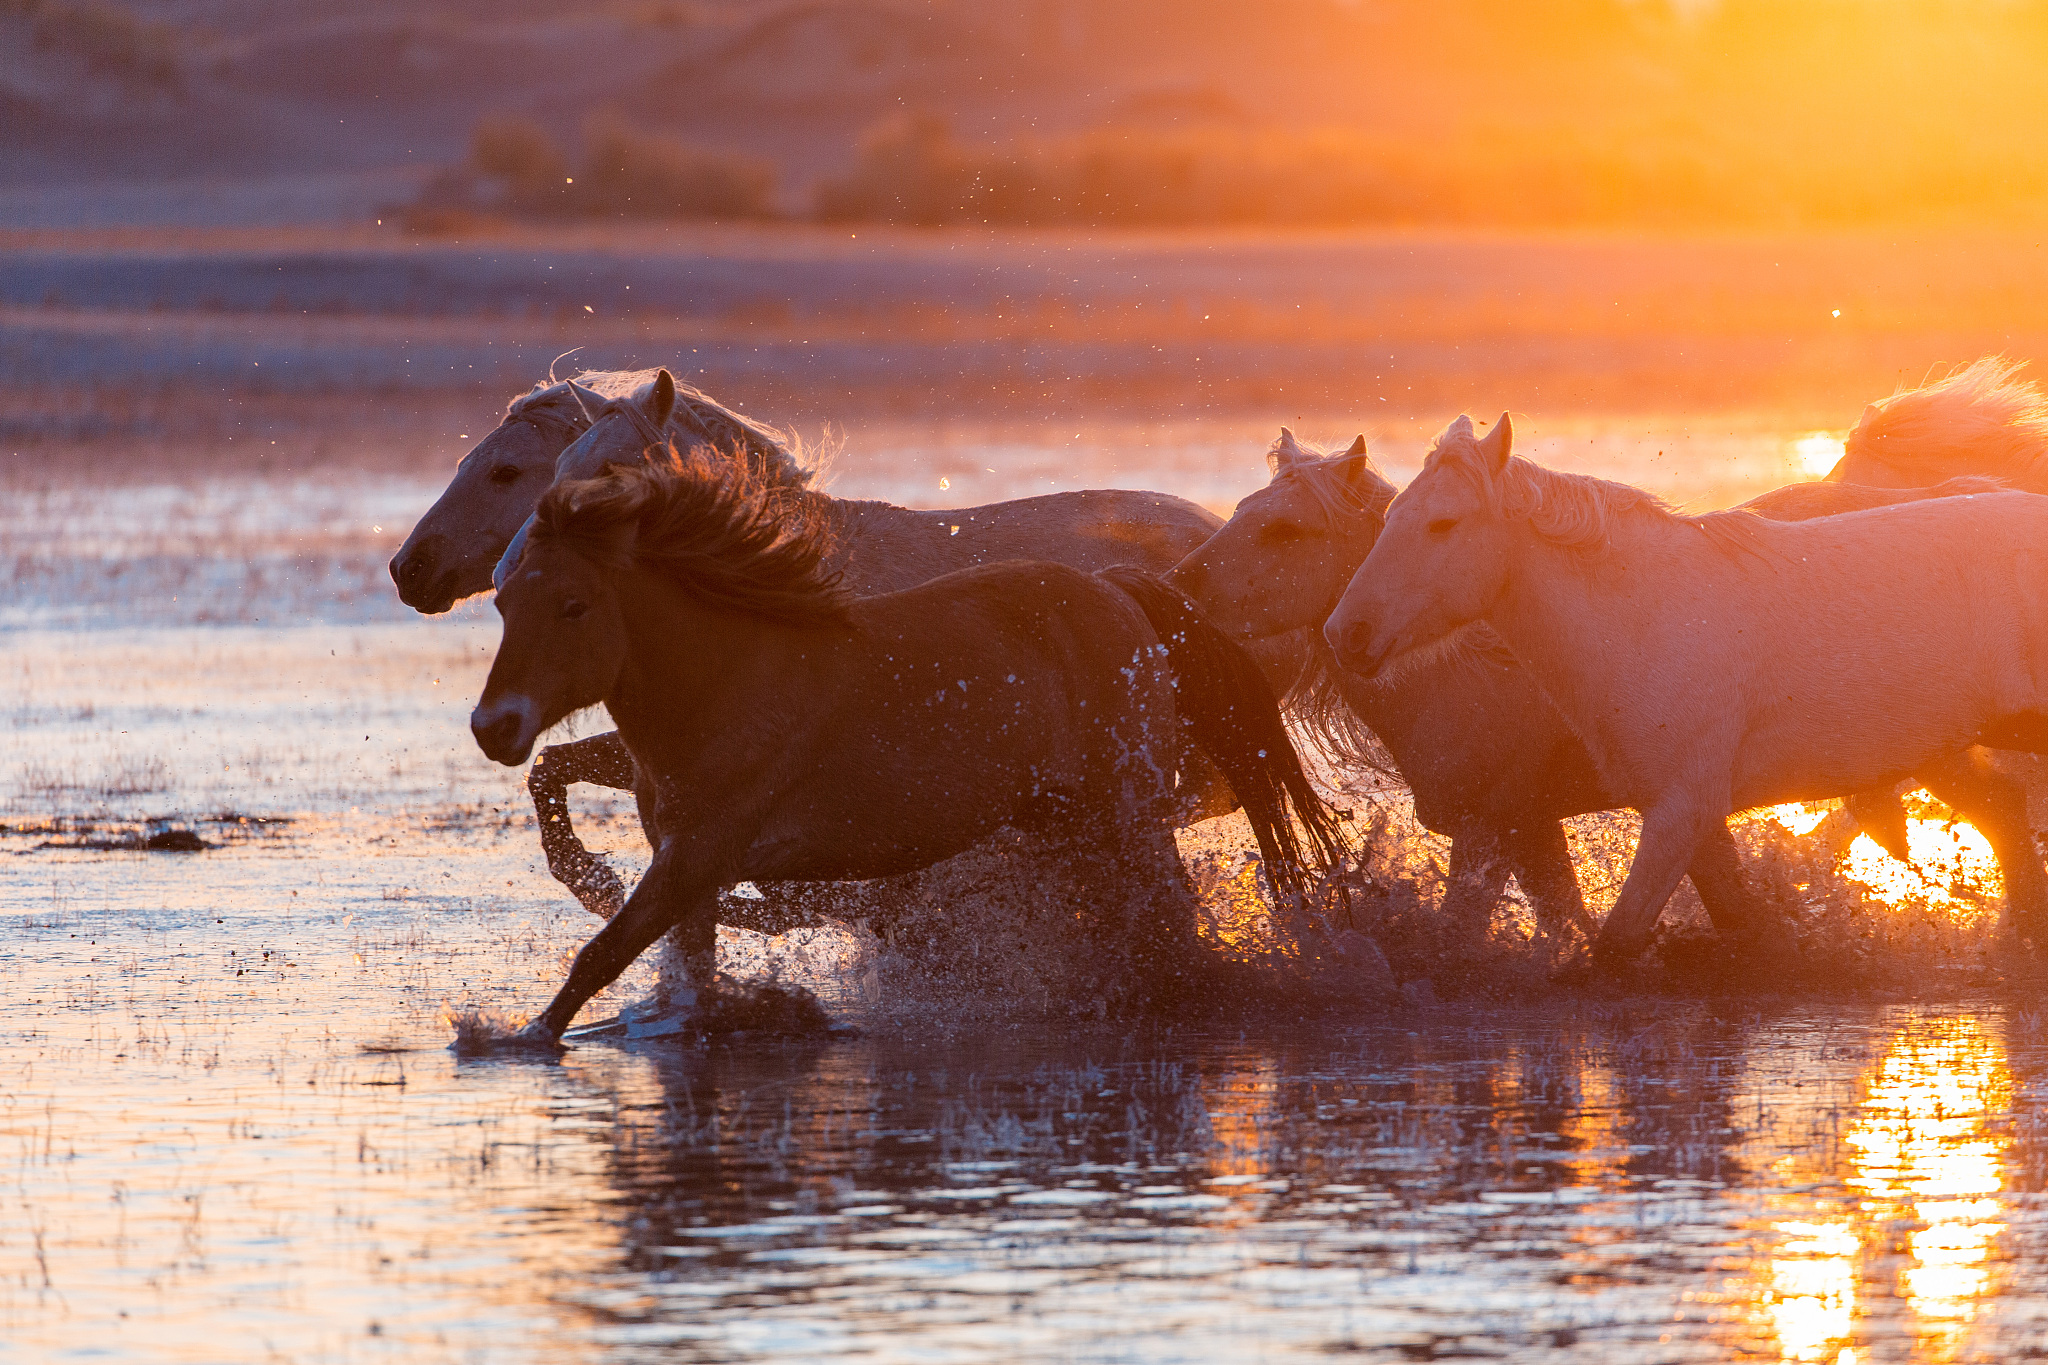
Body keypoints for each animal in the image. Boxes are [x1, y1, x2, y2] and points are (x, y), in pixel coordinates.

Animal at [467, 448, 1347, 1048]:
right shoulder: (681, 856)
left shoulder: (700, 853)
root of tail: (1118, 591)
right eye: (505, 604)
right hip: (1066, 822)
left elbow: (603, 951)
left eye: (574, 605)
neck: (730, 680)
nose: (493, 725)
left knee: (1168, 921)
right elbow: (685, 961)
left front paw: (518, 1038)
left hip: (1123, 818)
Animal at [1173, 429, 2027, 949]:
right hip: (1937, 750)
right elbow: (1576, 924)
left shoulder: (1497, 826)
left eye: (1285, 530)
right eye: (1245, 510)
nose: (1182, 583)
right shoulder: (1540, 827)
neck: (1466, 668)